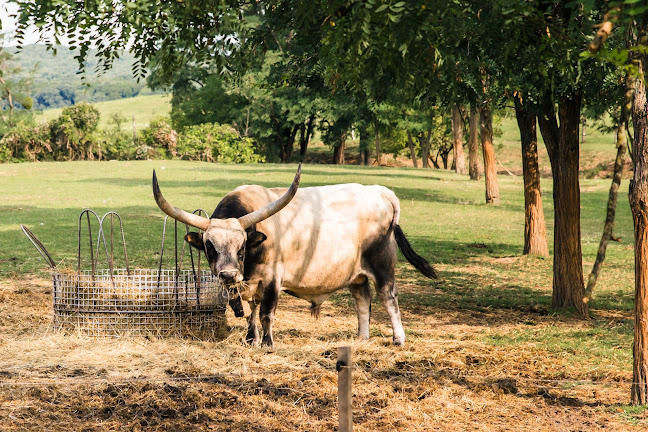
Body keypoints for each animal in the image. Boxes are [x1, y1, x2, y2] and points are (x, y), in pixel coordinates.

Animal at [151, 165, 436, 348]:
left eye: (241, 247)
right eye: (210, 247)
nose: (229, 275)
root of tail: (378, 191)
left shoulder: (272, 279)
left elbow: (266, 312)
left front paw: (267, 343)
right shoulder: (250, 283)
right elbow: (252, 311)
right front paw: (251, 340)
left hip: (382, 263)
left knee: (388, 298)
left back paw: (398, 339)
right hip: (355, 272)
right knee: (362, 299)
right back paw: (361, 338)